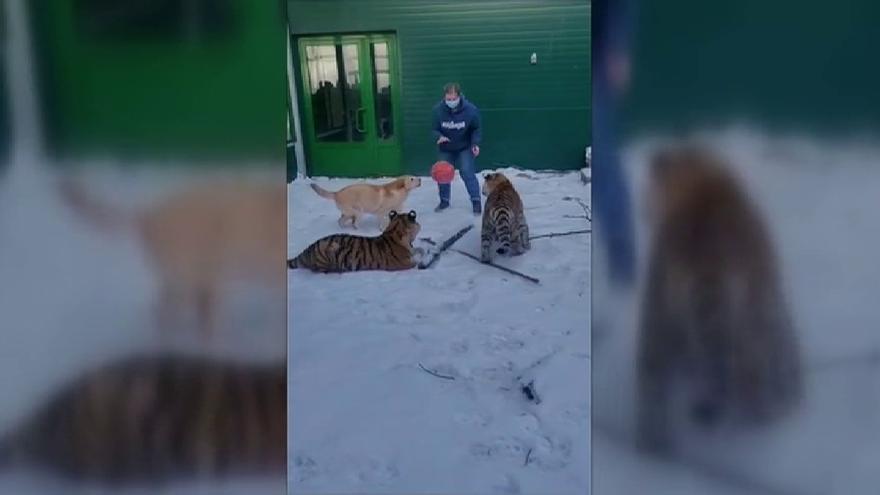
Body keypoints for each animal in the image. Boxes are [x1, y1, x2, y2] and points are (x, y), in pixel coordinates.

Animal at [632, 145, 804, 456]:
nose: (642, 209)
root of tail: (710, 260)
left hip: (662, 319)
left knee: (653, 389)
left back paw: (651, 445)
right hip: (752, 320)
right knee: (756, 380)